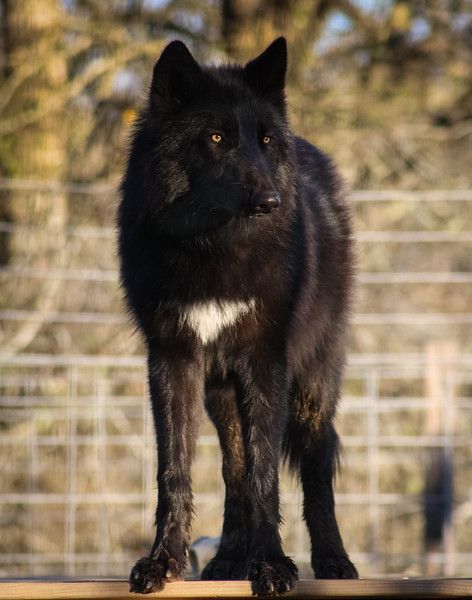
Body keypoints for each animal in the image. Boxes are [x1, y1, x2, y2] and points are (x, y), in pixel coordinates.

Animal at [119, 37, 358, 596]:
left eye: (265, 140)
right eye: (216, 137)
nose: (271, 200)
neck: (212, 248)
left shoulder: (265, 360)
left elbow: (266, 474)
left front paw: (271, 566)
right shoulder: (172, 360)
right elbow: (176, 471)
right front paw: (162, 562)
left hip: (311, 388)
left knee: (315, 468)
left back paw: (333, 561)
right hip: (220, 393)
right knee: (233, 467)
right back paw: (228, 558)